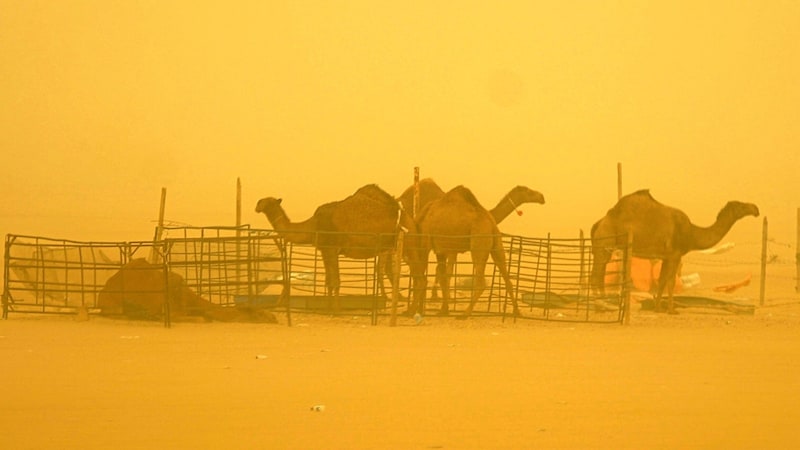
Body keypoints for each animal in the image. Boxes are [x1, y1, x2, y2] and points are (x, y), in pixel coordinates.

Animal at [258, 183, 432, 310]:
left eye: (267, 201)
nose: (257, 204)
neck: (313, 224)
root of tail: (413, 221)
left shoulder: (331, 248)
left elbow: (336, 281)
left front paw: (336, 310)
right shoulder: (324, 250)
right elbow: (328, 281)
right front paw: (327, 308)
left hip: (408, 244)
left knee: (419, 278)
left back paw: (410, 311)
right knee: (418, 278)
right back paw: (412, 310)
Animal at [406, 185, 524, 318]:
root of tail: (490, 222)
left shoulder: (426, 244)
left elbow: (424, 276)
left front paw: (411, 310)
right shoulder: (441, 250)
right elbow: (443, 277)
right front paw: (443, 310)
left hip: (478, 241)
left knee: (481, 282)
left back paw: (465, 314)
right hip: (496, 243)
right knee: (507, 278)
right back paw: (517, 312)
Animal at [592, 189, 760, 312]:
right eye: (741, 205)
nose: (755, 209)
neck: (692, 233)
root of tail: (599, 223)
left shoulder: (666, 257)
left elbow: (661, 281)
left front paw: (657, 308)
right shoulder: (675, 255)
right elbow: (671, 282)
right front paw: (672, 310)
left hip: (604, 248)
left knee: (598, 273)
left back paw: (604, 303)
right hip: (604, 243)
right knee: (596, 274)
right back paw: (600, 305)